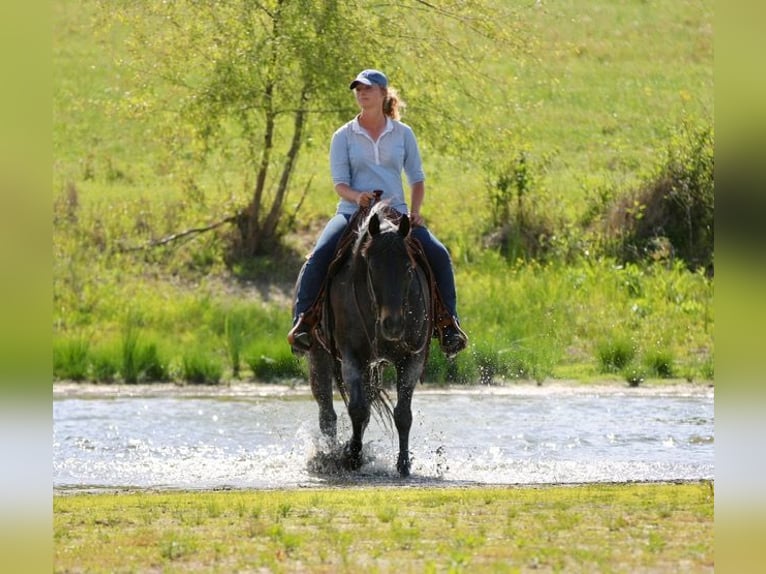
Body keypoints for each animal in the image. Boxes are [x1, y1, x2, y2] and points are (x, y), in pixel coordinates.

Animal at [307, 203, 433, 477]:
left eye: (409, 269)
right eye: (372, 268)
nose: (393, 324)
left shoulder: (413, 358)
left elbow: (402, 414)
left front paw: (404, 464)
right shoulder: (351, 357)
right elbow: (358, 409)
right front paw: (352, 457)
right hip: (319, 356)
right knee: (327, 414)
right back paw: (330, 455)